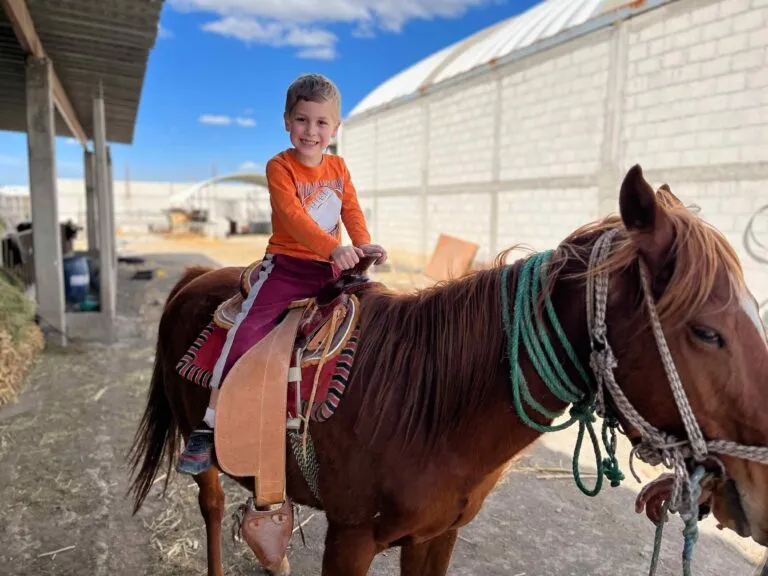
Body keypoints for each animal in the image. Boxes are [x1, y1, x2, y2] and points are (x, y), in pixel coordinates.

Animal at [127, 164, 768, 576]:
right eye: (706, 331)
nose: (758, 491)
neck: (427, 410)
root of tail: (195, 277)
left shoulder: (437, 537)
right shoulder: (350, 539)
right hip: (201, 451)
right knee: (211, 508)